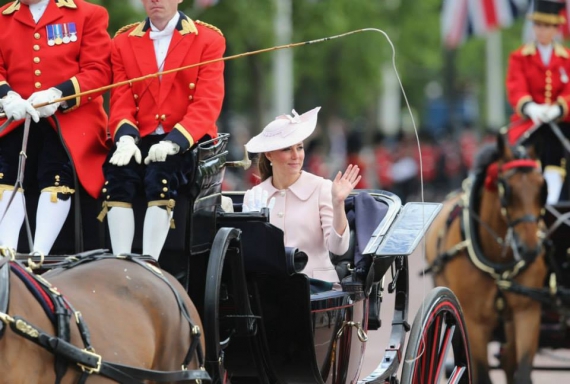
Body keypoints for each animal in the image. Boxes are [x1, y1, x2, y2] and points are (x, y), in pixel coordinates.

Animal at [424, 134, 544, 384]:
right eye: (507, 190)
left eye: (542, 188)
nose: (529, 249)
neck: (496, 260)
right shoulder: (474, 321)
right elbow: (481, 373)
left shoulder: (526, 312)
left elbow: (522, 372)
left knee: (508, 361)